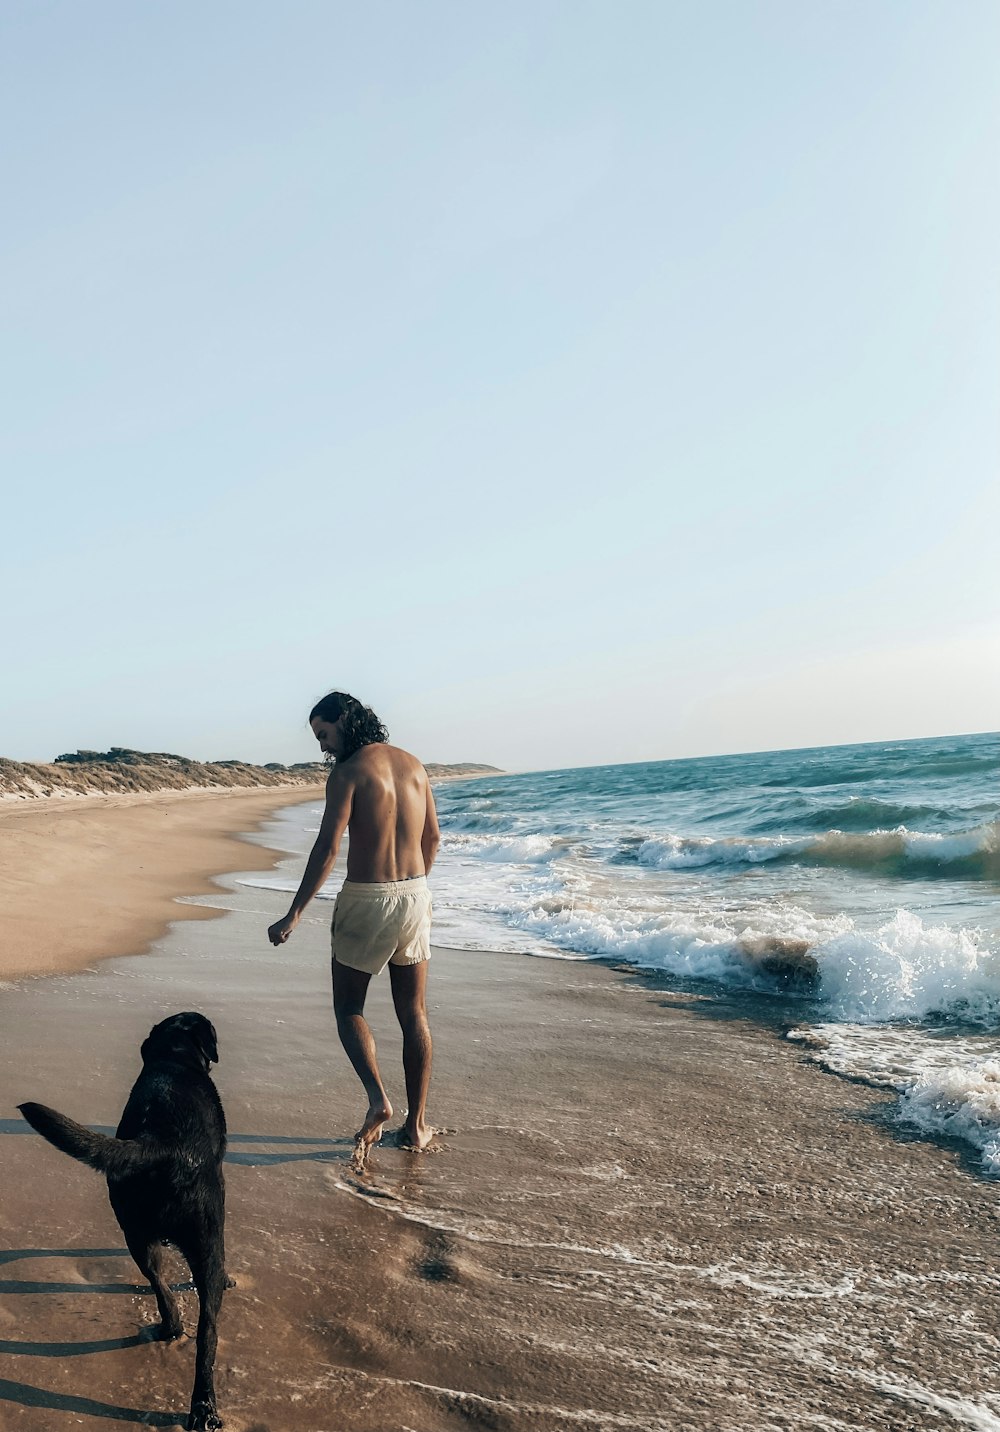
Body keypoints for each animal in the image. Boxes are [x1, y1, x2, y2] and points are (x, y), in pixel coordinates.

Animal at [20, 1013, 226, 1426]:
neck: (173, 1058)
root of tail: (158, 1142)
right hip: (207, 1239)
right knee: (207, 1330)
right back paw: (204, 1406)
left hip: (135, 1234)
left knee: (159, 1285)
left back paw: (170, 1330)